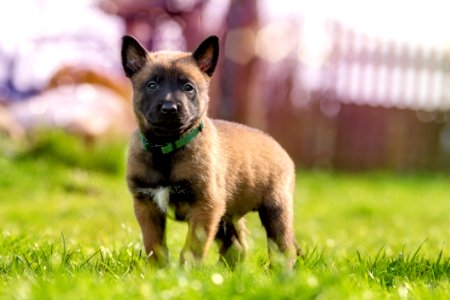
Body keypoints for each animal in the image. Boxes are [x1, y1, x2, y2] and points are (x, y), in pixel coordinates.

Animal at [121, 34, 300, 268]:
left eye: (188, 87)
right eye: (151, 85)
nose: (170, 109)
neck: (166, 149)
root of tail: (277, 146)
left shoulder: (205, 206)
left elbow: (191, 248)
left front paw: (184, 272)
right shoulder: (147, 205)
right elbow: (154, 245)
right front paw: (158, 271)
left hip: (276, 210)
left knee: (282, 247)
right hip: (226, 216)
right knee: (236, 246)